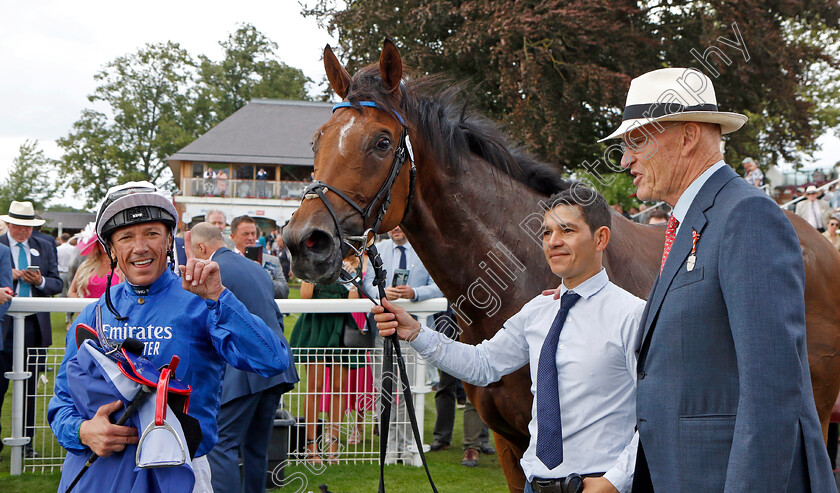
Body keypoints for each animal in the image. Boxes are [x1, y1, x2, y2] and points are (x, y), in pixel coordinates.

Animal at [284, 40, 840, 490]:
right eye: (316, 141)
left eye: (381, 142)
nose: (303, 242)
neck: (521, 274)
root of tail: (818, 246)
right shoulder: (511, 445)